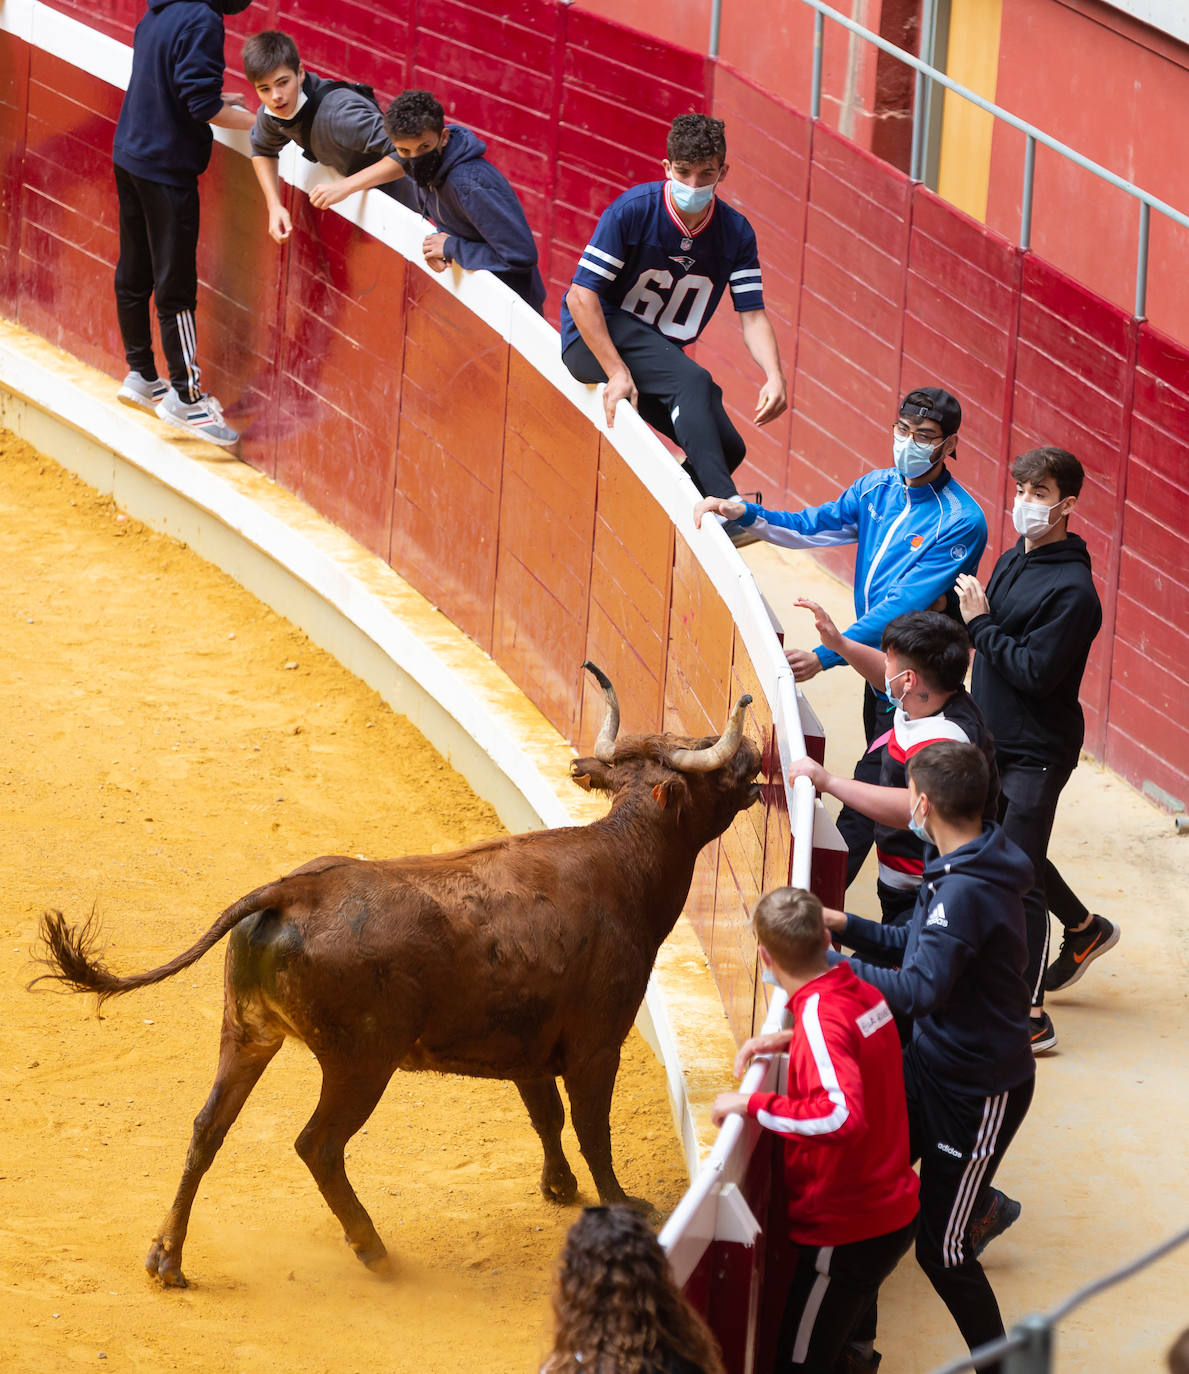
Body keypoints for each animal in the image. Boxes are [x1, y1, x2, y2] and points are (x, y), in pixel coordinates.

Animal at [37, 665, 758, 1286]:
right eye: (705, 756)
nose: (753, 753)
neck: (622, 861)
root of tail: (291, 891)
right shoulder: (596, 1046)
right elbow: (591, 1129)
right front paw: (620, 1202)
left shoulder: (526, 1045)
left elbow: (545, 1117)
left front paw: (558, 1188)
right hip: (361, 1060)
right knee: (319, 1145)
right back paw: (373, 1250)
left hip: (246, 1033)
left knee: (207, 1129)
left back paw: (168, 1257)